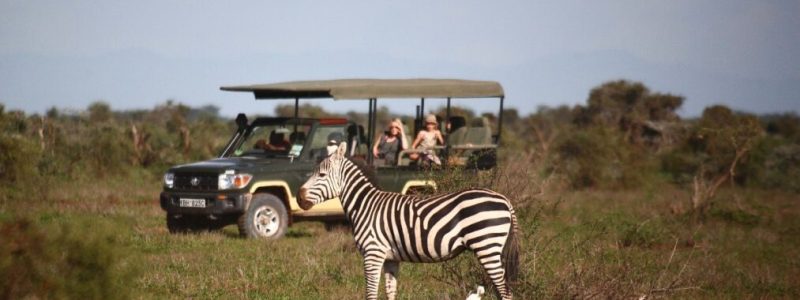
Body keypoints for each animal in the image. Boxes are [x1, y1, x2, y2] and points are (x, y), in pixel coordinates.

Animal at [298, 143, 520, 300]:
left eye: (321, 174)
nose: (299, 198)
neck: (365, 205)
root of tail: (505, 199)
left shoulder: (373, 252)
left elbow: (370, 293)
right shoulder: (390, 258)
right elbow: (390, 292)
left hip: (486, 245)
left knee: (505, 292)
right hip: (495, 248)